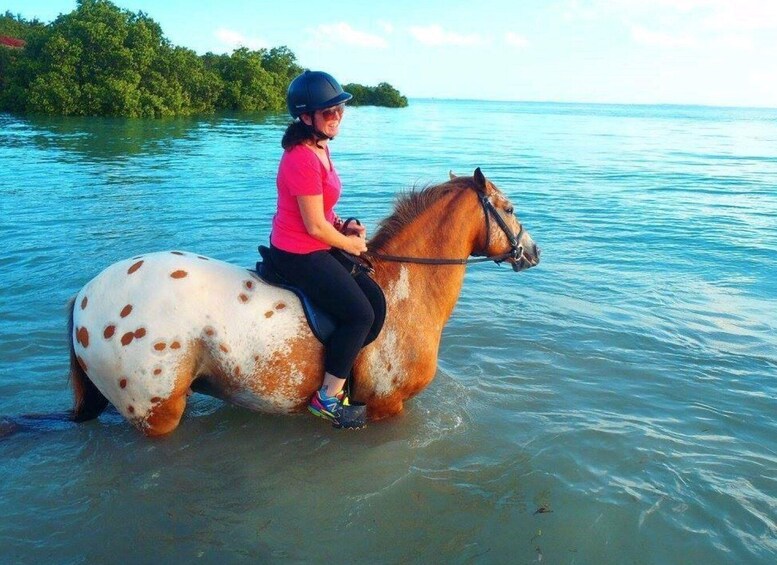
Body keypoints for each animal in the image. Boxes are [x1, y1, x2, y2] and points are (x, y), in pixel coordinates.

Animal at [68, 167, 540, 436]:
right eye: (510, 208)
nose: (533, 251)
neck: (406, 286)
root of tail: (85, 295)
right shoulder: (388, 405)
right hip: (156, 412)